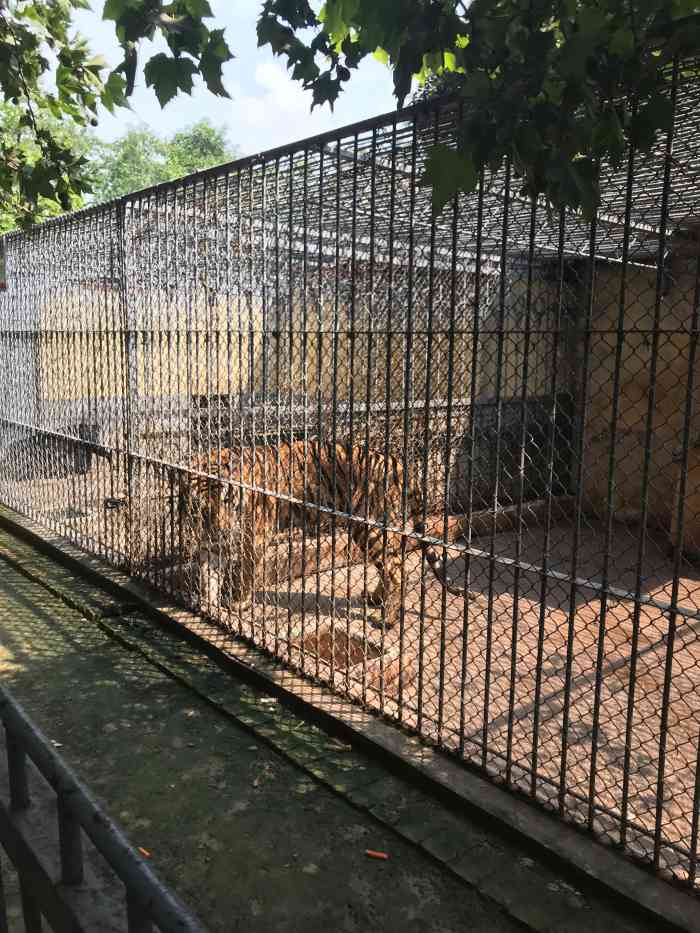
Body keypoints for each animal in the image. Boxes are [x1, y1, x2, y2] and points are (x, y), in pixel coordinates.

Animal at [176, 438, 470, 628]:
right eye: (200, 508)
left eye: (226, 500)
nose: (222, 529)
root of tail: (395, 461)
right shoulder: (210, 546)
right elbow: (208, 577)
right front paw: (207, 606)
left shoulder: (254, 539)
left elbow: (244, 573)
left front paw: (238, 603)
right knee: (390, 563)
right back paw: (375, 598)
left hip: (368, 526)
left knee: (397, 568)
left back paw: (387, 619)